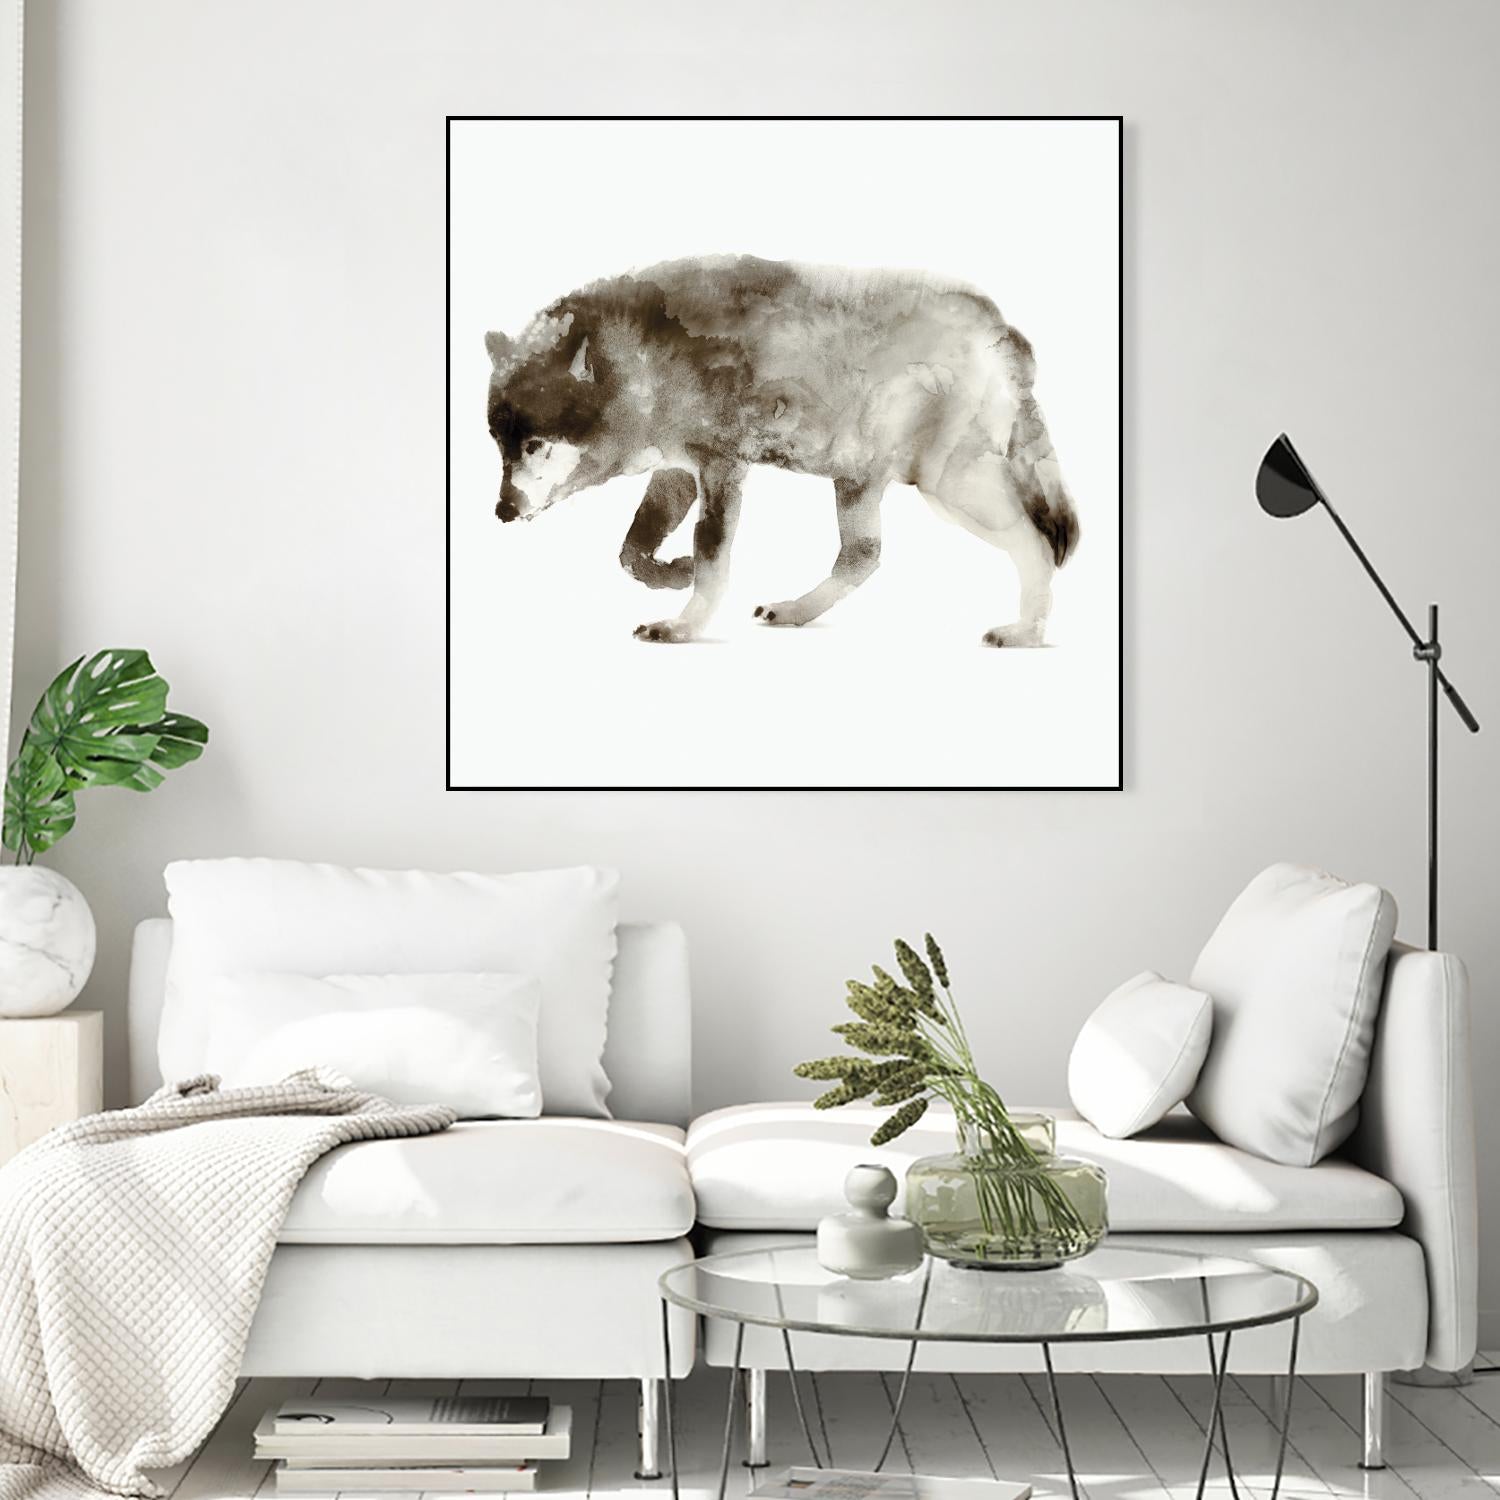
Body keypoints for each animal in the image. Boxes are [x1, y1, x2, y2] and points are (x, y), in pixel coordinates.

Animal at [483, 256, 1080, 645]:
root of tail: (998, 324)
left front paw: (682, 624)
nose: (502, 511)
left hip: (948, 486)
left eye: (534, 445)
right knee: (864, 556)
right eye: (498, 445)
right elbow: (632, 551)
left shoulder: (721, 467)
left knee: (1036, 543)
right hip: (858, 478)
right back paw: (795, 612)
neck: (640, 359)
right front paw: (673, 573)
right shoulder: (679, 469)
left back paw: (1026, 632)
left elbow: (711, 556)